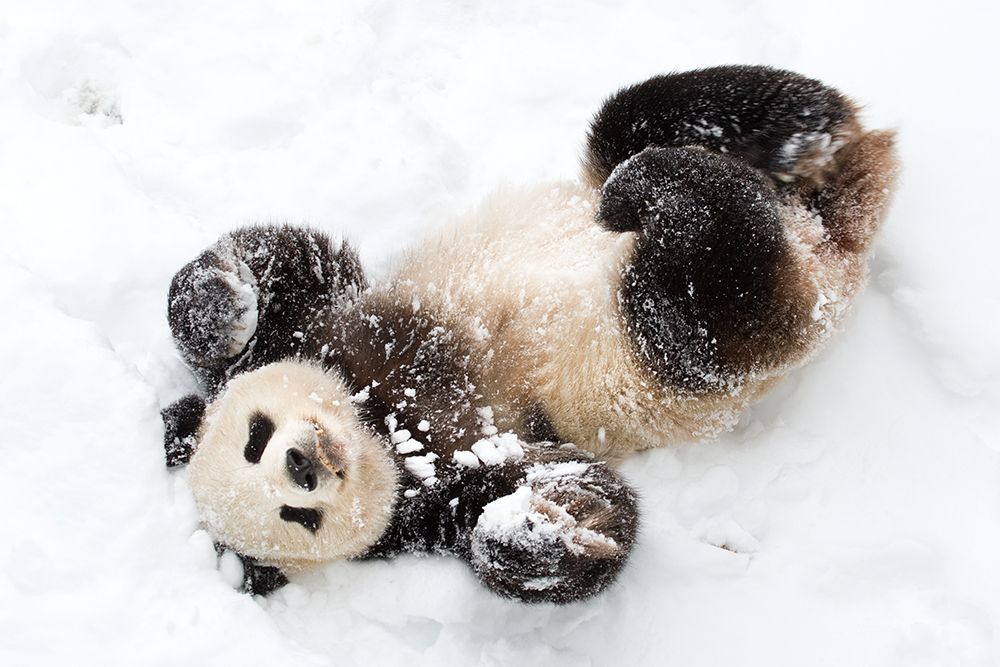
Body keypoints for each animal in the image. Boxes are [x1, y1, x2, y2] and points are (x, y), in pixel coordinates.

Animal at [161, 65, 898, 604]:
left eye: (255, 437)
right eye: (298, 517)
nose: (304, 464)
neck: (378, 417)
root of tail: (826, 235)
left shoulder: (327, 324)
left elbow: (289, 259)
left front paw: (220, 306)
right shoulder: (439, 484)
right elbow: (577, 495)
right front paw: (534, 533)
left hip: (654, 177)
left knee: (637, 120)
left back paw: (786, 135)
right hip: (690, 342)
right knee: (708, 285)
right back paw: (690, 189)